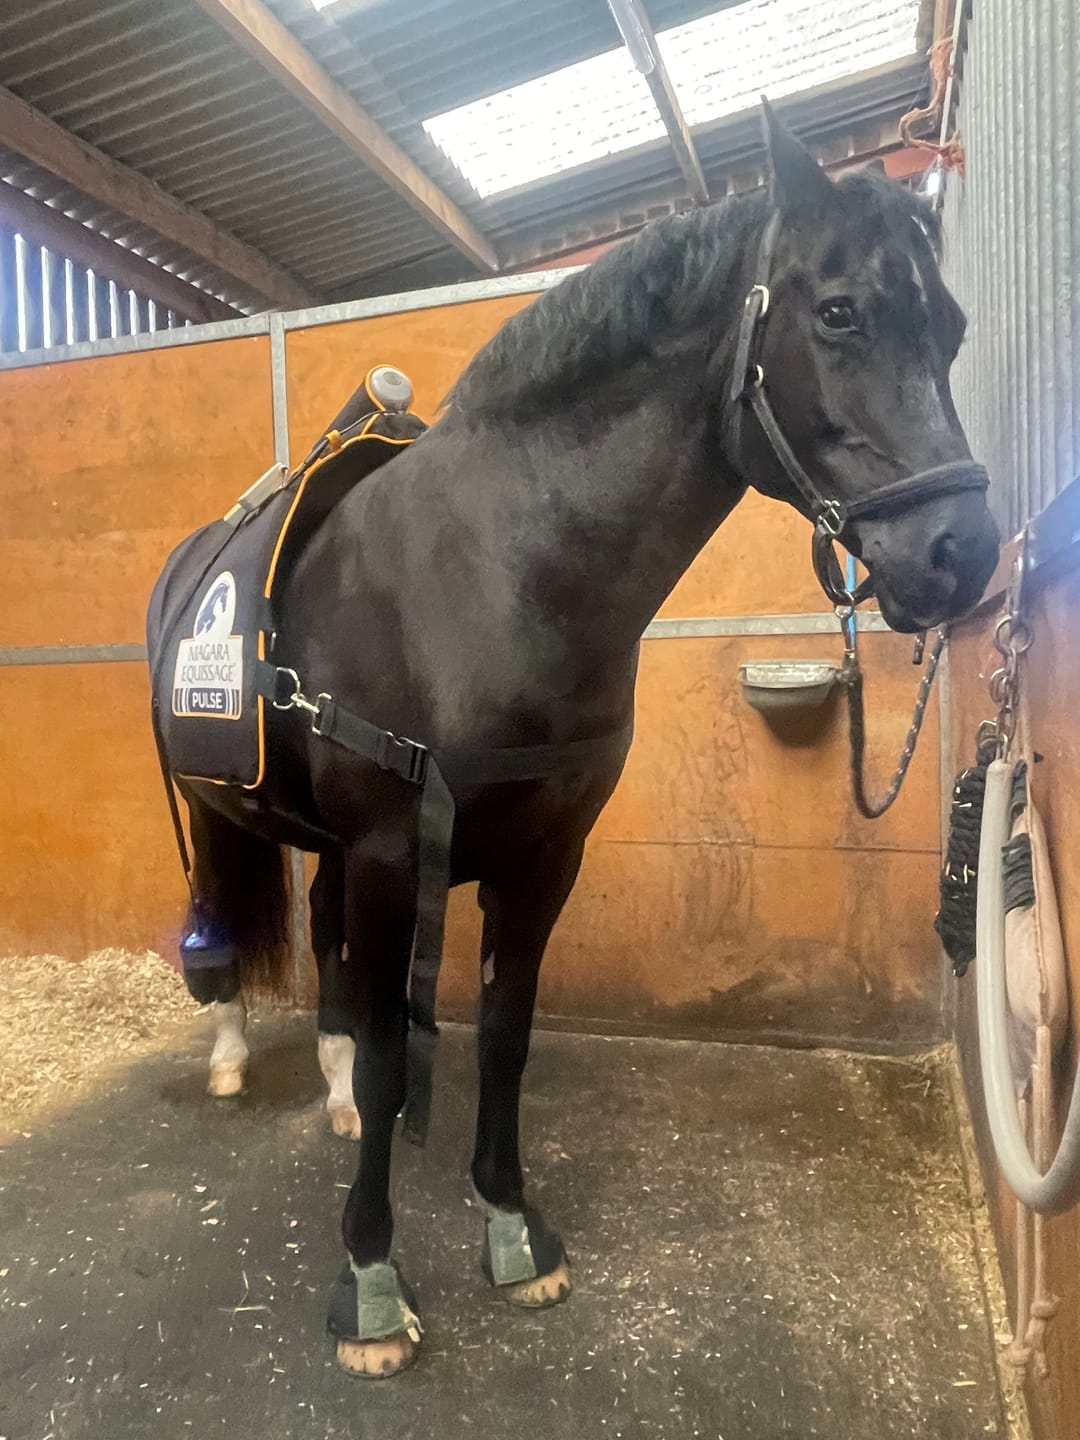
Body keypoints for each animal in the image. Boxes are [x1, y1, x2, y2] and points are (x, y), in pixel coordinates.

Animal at [146, 104, 999, 1378]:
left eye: (950, 328)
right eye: (840, 312)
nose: (965, 555)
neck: (493, 578)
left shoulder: (545, 856)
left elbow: (502, 1036)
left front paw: (511, 1225)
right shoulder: (399, 851)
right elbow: (405, 1051)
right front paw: (371, 1280)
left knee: (329, 938)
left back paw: (336, 1092)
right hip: (213, 806)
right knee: (223, 923)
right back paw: (234, 1058)